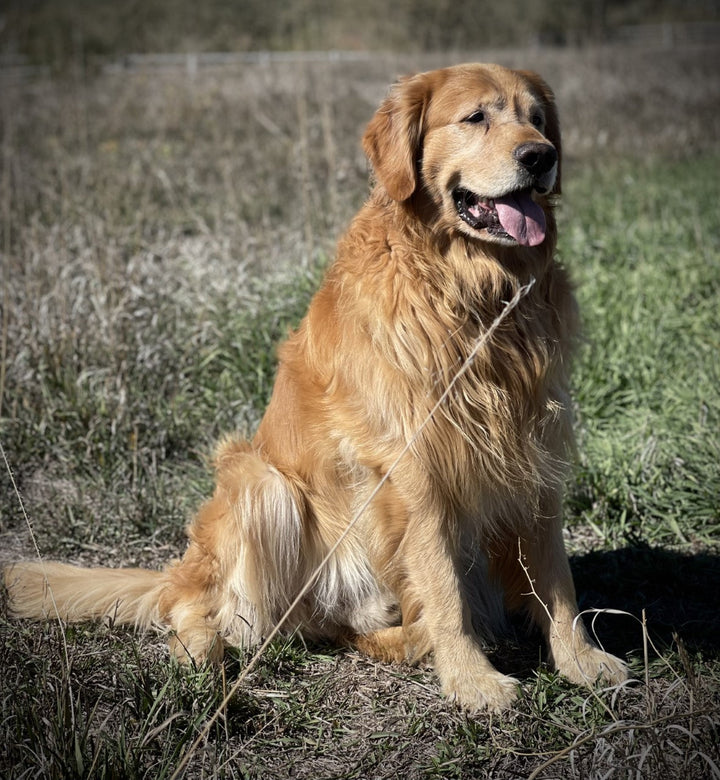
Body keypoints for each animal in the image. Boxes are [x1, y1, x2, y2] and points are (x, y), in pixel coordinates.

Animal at [4, 64, 624, 712]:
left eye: (537, 118)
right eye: (475, 117)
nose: (541, 155)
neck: (474, 294)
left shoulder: (537, 452)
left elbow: (556, 580)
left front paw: (582, 660)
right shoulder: (413, 468)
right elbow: (444, 585)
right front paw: (472, 681)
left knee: (343, 629)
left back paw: (405, 638)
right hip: (261, 484)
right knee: (201, 607)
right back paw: (202, 655)